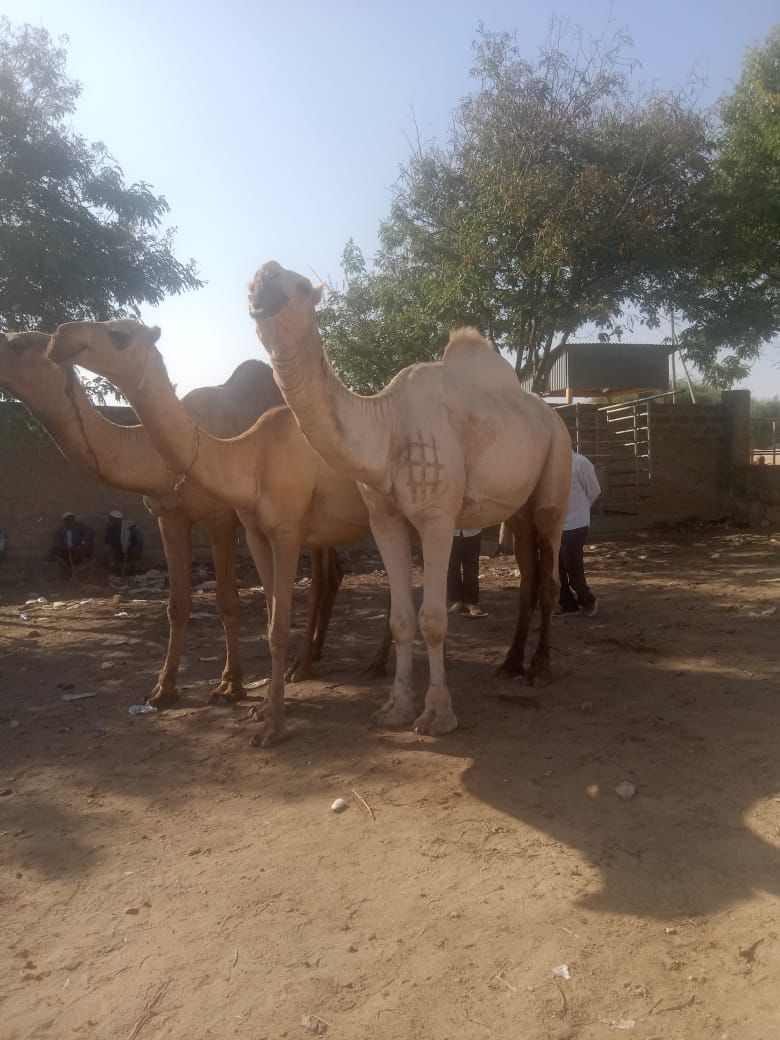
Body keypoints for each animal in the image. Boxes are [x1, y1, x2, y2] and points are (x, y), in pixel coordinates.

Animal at [0, 330, 343, 706]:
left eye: (17, 344)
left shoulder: (219, 519)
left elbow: (227, 602)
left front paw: (230, 685)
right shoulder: (170, 518)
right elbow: (177, 605)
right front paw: (163, 689)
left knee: (320, 579)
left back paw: (302, 664)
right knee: (332, 574)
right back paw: (314, 653)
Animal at [48, 320, 391, 747]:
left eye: (120, 334)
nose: (60, 335)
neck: (249, 456)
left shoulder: (278, 529)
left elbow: (274, 621)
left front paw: (265, 719)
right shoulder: (247, 531)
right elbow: (266, 621)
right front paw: (256, 709)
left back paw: (374, 672)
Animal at [246, 261, 573, 736]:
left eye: (303, 287)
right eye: (251, 283)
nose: (265, 278)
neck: (385, 427)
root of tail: (555, 416)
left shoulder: (436, 516)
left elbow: (432, 619)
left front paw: (437, 715)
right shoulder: (384, 518)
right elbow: (401, 619)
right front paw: (395, 709)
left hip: (557, 469)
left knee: (548, 568)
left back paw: (541, 669)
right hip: (517, 507)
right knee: (528, 573)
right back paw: (510, 664)